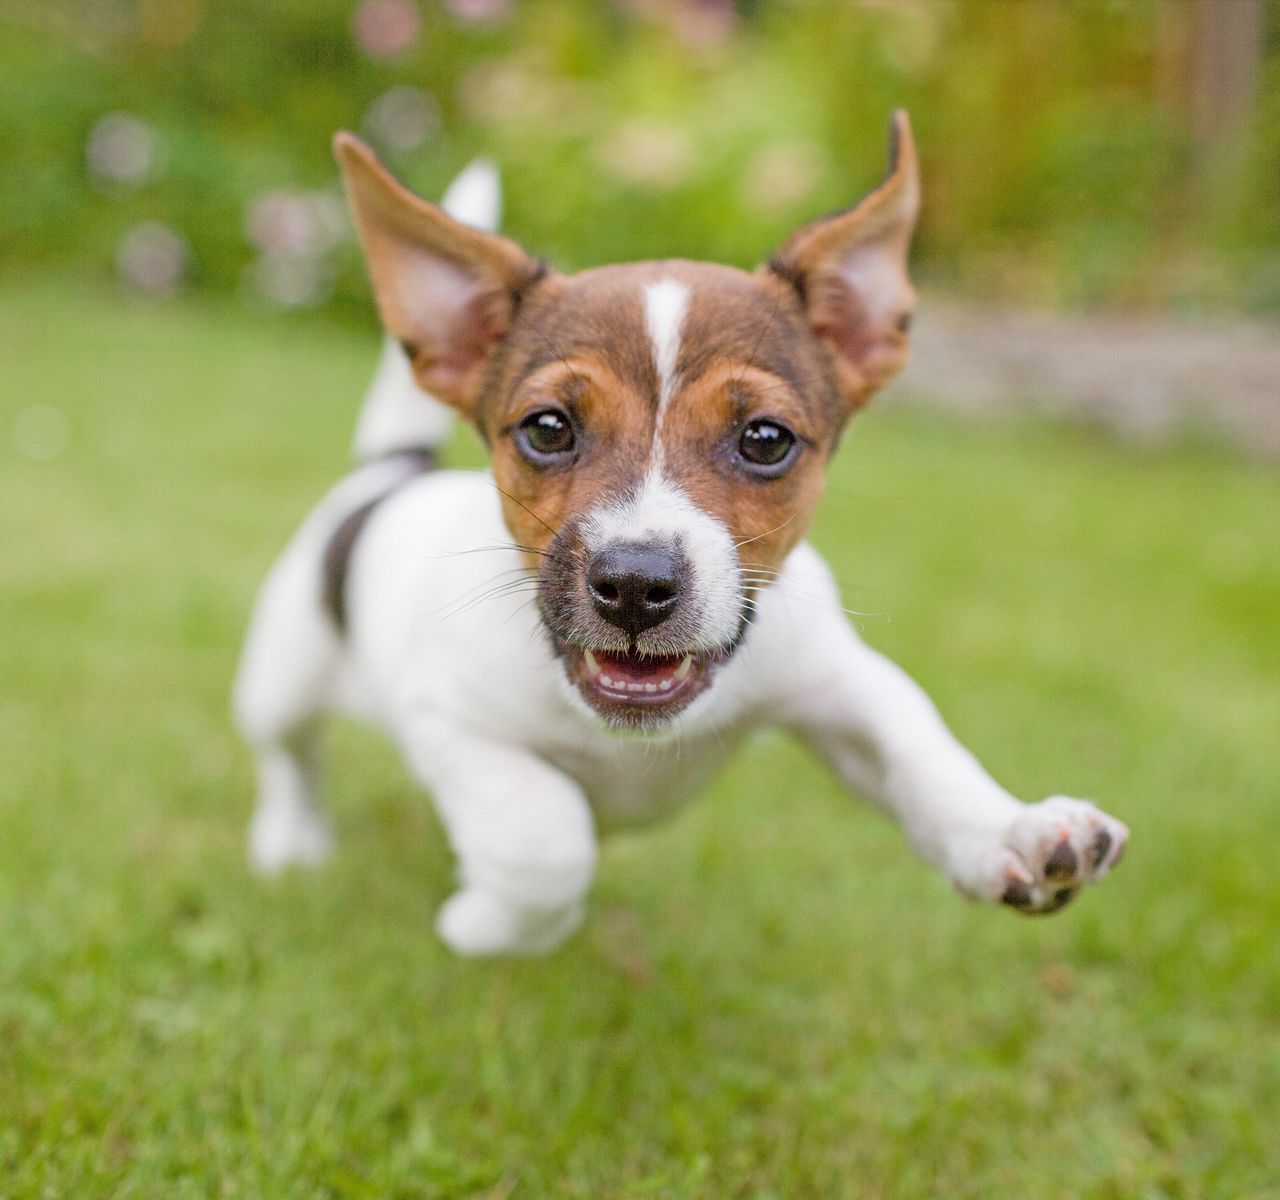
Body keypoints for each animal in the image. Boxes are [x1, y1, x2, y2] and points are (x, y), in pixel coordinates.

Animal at [235, 112, 1126, 951]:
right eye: (547, 428)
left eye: (765, 439)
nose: (634, 585)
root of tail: (392, 470)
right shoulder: (449, 721)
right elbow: (546, 840)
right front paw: (483, 925)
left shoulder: (841, 683)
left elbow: (922, 752)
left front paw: (1010, 831)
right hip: (280, 673)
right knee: (289, 756)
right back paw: (291, 842)